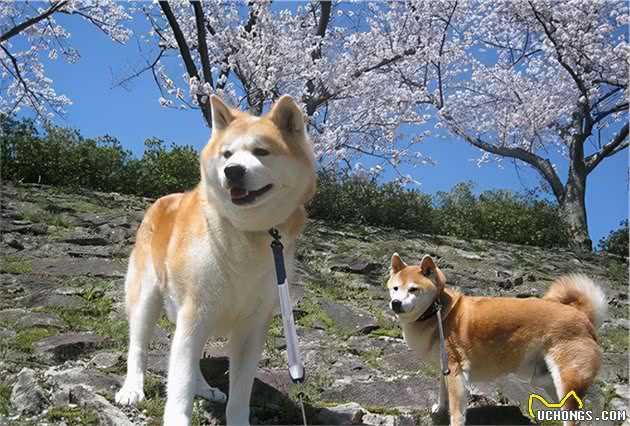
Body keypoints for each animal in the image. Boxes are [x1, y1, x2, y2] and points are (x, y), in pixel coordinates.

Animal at [115, 95, 316, 424]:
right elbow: (179, 387)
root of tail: (166, 197)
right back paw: (132, 388)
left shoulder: (251, 326)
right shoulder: (195, 312)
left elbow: (239, 393)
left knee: (190, 359)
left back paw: (204, 388)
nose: (232, 171)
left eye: (261, 151)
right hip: (148, 298)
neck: (247, 232)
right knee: (139, 347)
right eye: (227, 154)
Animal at [388, 255, 608, 424]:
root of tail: (583, 316)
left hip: (566, 380)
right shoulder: (445, 368)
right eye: (395, 288)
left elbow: (457, 411)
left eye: (413, 289)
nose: (395, 303)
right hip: (546, 381)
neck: (437, 312)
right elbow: (443, 392)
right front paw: (440, 408)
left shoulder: (457, 371)